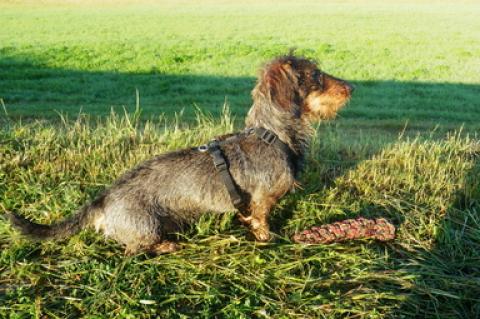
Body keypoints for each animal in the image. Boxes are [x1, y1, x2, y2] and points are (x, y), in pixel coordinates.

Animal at [6, 54, 352, 255]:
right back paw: (167, 246)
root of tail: (103, 200)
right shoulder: (262, 200)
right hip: (147, 227)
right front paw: (267, 239)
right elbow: (261, 221)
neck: (271, 135)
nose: (351, 88)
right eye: (316, 76)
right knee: (134, 250)